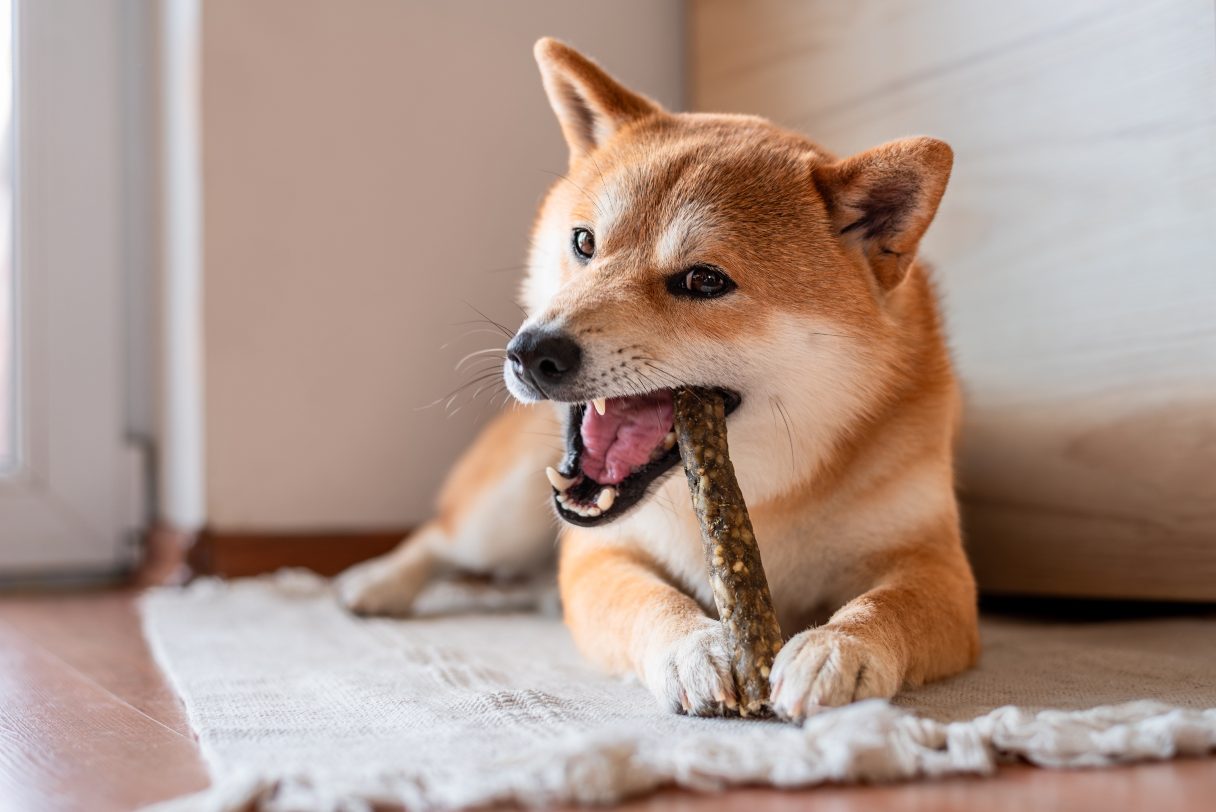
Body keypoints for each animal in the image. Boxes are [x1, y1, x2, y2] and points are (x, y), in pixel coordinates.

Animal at [340, 39, 977, 724]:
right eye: (583, 242)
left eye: (704, 280)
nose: (531, 352)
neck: (769, 490)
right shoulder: (601, 555)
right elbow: (648, 600)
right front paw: (694, 648)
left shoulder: (936, 567)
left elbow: (887, 607)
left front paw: (837, 649)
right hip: (503, 516)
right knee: (442, 538)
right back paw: (373, 583)